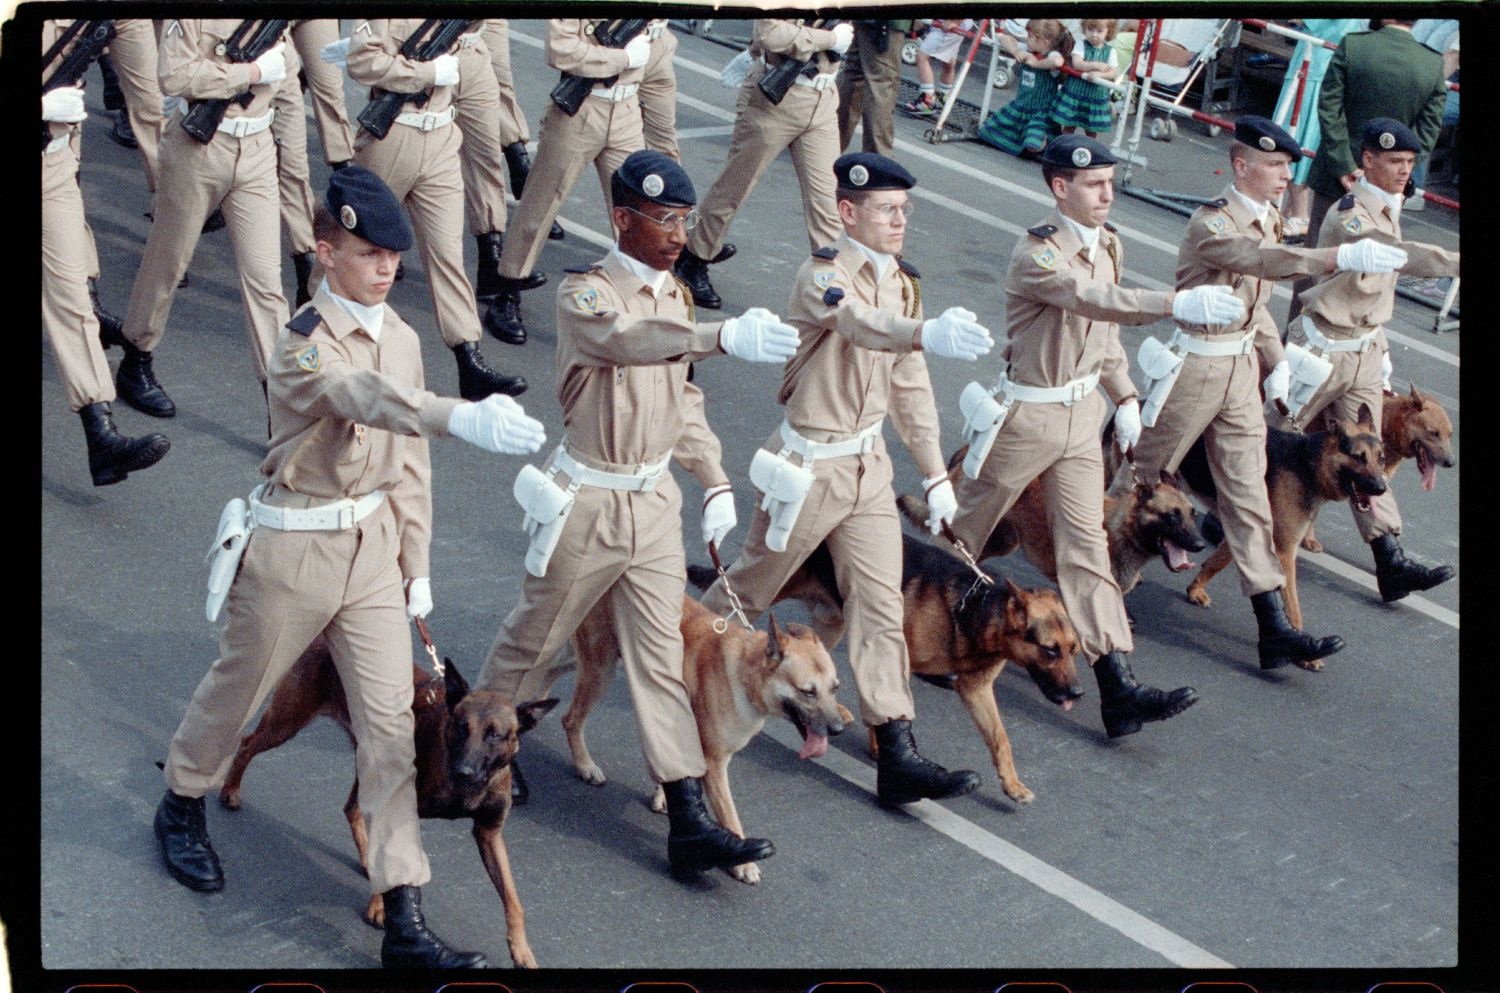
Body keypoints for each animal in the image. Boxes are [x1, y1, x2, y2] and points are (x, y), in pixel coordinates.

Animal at [216, 639, 558, 972]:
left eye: (494, 735)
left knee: (351, 808)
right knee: (246, 744)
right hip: (287, 721)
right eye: (461, 726)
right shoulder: (400, 810)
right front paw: (380, 905)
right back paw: (230, 791)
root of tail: (324, 640)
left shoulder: (489, 834)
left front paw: (522, 950)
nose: (463, 772)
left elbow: (513, 900)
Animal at [558, 600, 852, 888]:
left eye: (835, 688)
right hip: (600, 670)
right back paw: (585, 765)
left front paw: (663, 795)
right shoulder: (714, 763)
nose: (837, 730)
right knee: (570, 719)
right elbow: (730, 816)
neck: (746, 673)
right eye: (808, 692)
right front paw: (743, 863)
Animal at [687, 537, 1086, 810]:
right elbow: (885, 708)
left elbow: (1001, 740)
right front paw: (883, 748)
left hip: (829, 628)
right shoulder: (898, 655)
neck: (973, 606)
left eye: (1074, 650)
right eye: (1050, 650)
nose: (1078, 694)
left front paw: (1012, 785)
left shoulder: (976, 689)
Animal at [1176, 405, 1386, 669]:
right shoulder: (1285, 551)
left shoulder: (1247, 529)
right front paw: (1305, 653)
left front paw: (1194, 590)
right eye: (1359, 457)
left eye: (1381, 458)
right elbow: (1293, 605)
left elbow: (1216, 562)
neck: (1307, 464)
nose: (1381, 489)